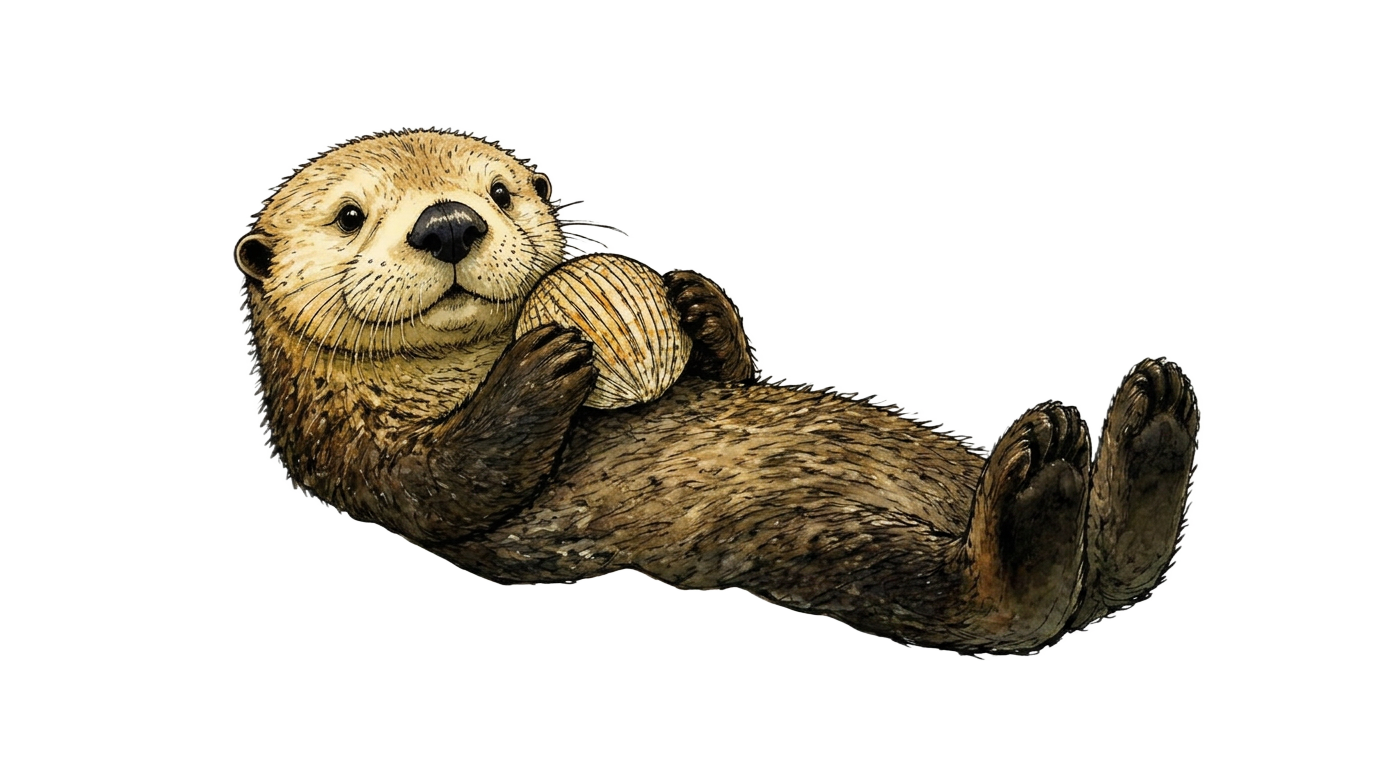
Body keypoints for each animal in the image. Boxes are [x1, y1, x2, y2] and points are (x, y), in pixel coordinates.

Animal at [236, 129, 1199, 654]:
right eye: (350, 216)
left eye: (501, 191)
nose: (448, 224)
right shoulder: (348, 451)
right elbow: (447, 481)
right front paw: (542, 367)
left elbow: (729, 370)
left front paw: (699, 302)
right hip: (831, 547)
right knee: (1003, 608)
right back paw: (1050, 469)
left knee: (1115, 574)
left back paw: (1150, 415)